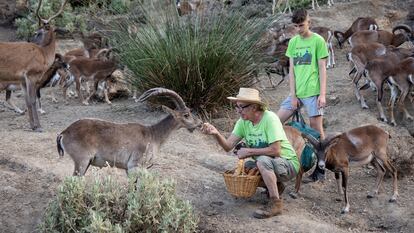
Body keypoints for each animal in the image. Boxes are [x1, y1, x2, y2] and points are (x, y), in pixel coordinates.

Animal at [0, 0, 68, 131]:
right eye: (36, 32)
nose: (30, 40)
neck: (44, 55)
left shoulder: (22, 79)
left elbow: (27, 100)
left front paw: (32, 125)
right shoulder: (31, 75)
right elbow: (32, 100)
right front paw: (39, 126)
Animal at [56, 87, 202, 175]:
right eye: (186, 114)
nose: (200, 124)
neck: (153, 135)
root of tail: (64, 133)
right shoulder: (134, 166)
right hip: (82, 161)